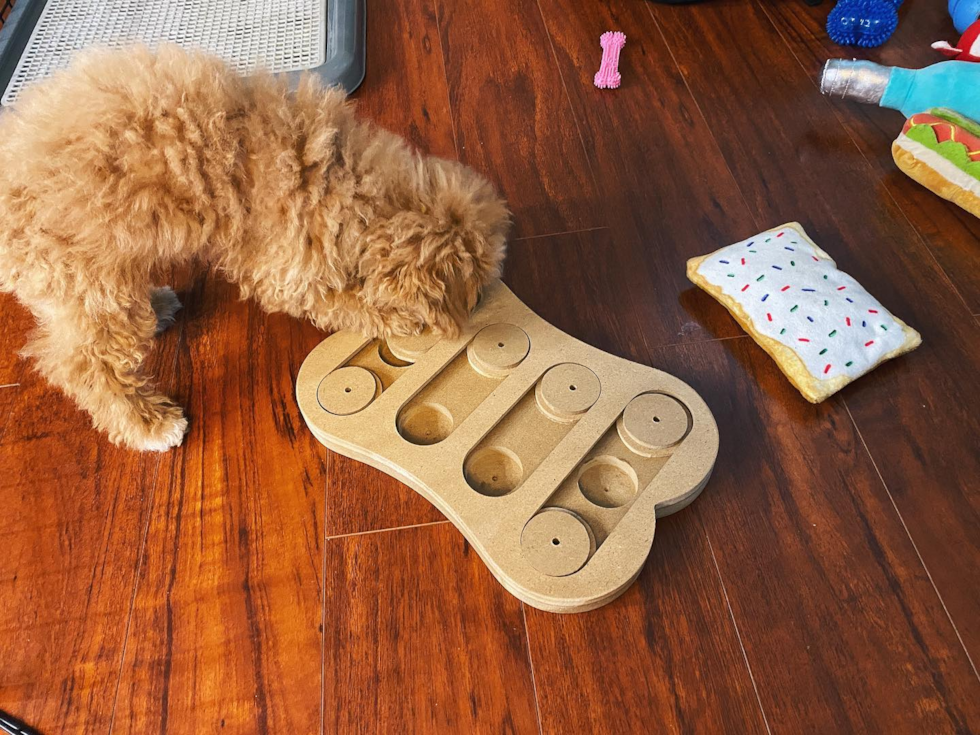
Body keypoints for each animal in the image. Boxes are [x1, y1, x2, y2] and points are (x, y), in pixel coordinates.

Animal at [0, 47, 510, 454]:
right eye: (476, 291)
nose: (487, 304)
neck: (348, 181)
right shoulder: (288, 269)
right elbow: (345, 303)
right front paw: (402, 318)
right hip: (86, 278)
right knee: (85, 364)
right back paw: (150, 425)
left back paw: (159, 304)